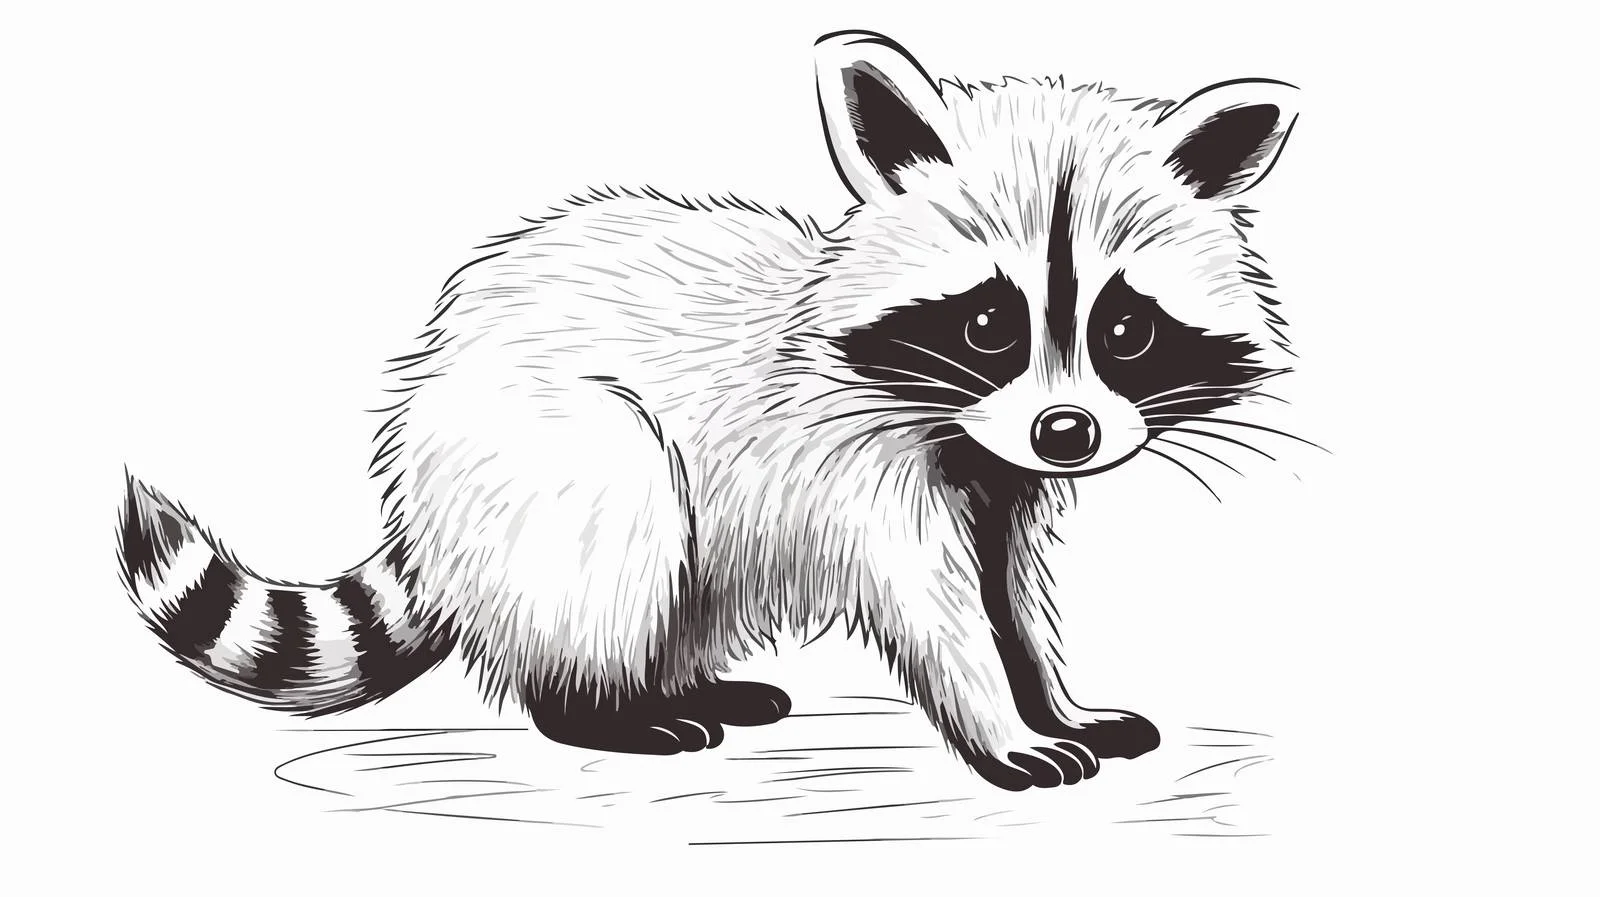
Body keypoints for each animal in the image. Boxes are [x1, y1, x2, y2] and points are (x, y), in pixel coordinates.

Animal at [118, 31, 1301, 791]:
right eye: (986, 325)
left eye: (1124, 330)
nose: (1069, 434)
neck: (961, 424)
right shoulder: (862, 465)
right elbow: (933, 602)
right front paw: (998, 725)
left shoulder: (996, 471)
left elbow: (1012, 593)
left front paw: (1052, 695)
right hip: (537, 456)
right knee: (618, 517)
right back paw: (599, 708)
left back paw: (683, 682)